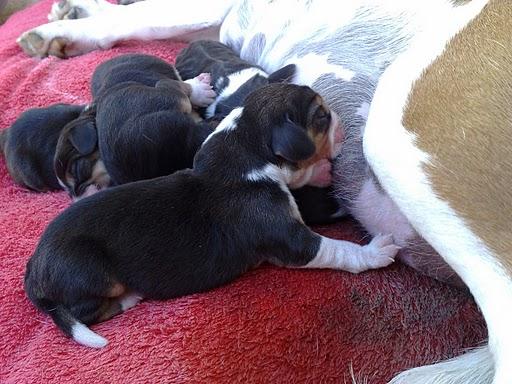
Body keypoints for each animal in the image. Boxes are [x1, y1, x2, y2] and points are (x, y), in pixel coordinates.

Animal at [25, 83, 400, 348]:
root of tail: (34, 266)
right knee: (85, 312)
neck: (243, 148)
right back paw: (129, 297)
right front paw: (377, 251)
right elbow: (339, 249)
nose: (344, 121)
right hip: (91, 274)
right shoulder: (291, 240)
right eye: (321, 116)